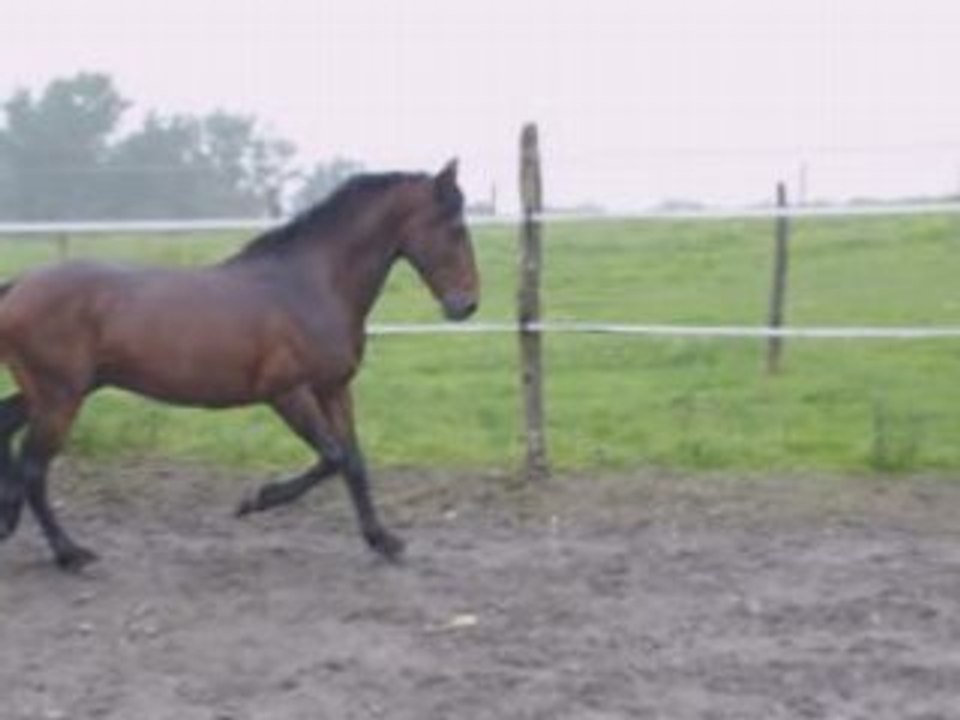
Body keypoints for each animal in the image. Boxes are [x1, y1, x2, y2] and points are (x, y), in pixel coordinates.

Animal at [0, 160, 479, 570]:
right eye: (455, 227)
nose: (466, 305)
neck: (309, 285)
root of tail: (18, 285)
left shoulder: (334, 387)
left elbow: (354, 463)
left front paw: (384, 540)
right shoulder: (286, 392)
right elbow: (333, 456)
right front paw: (256, 500)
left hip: (56, 391)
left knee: (9, 432)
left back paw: (10, 520)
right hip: (61, 396)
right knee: (34, 467)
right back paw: (69, 552)